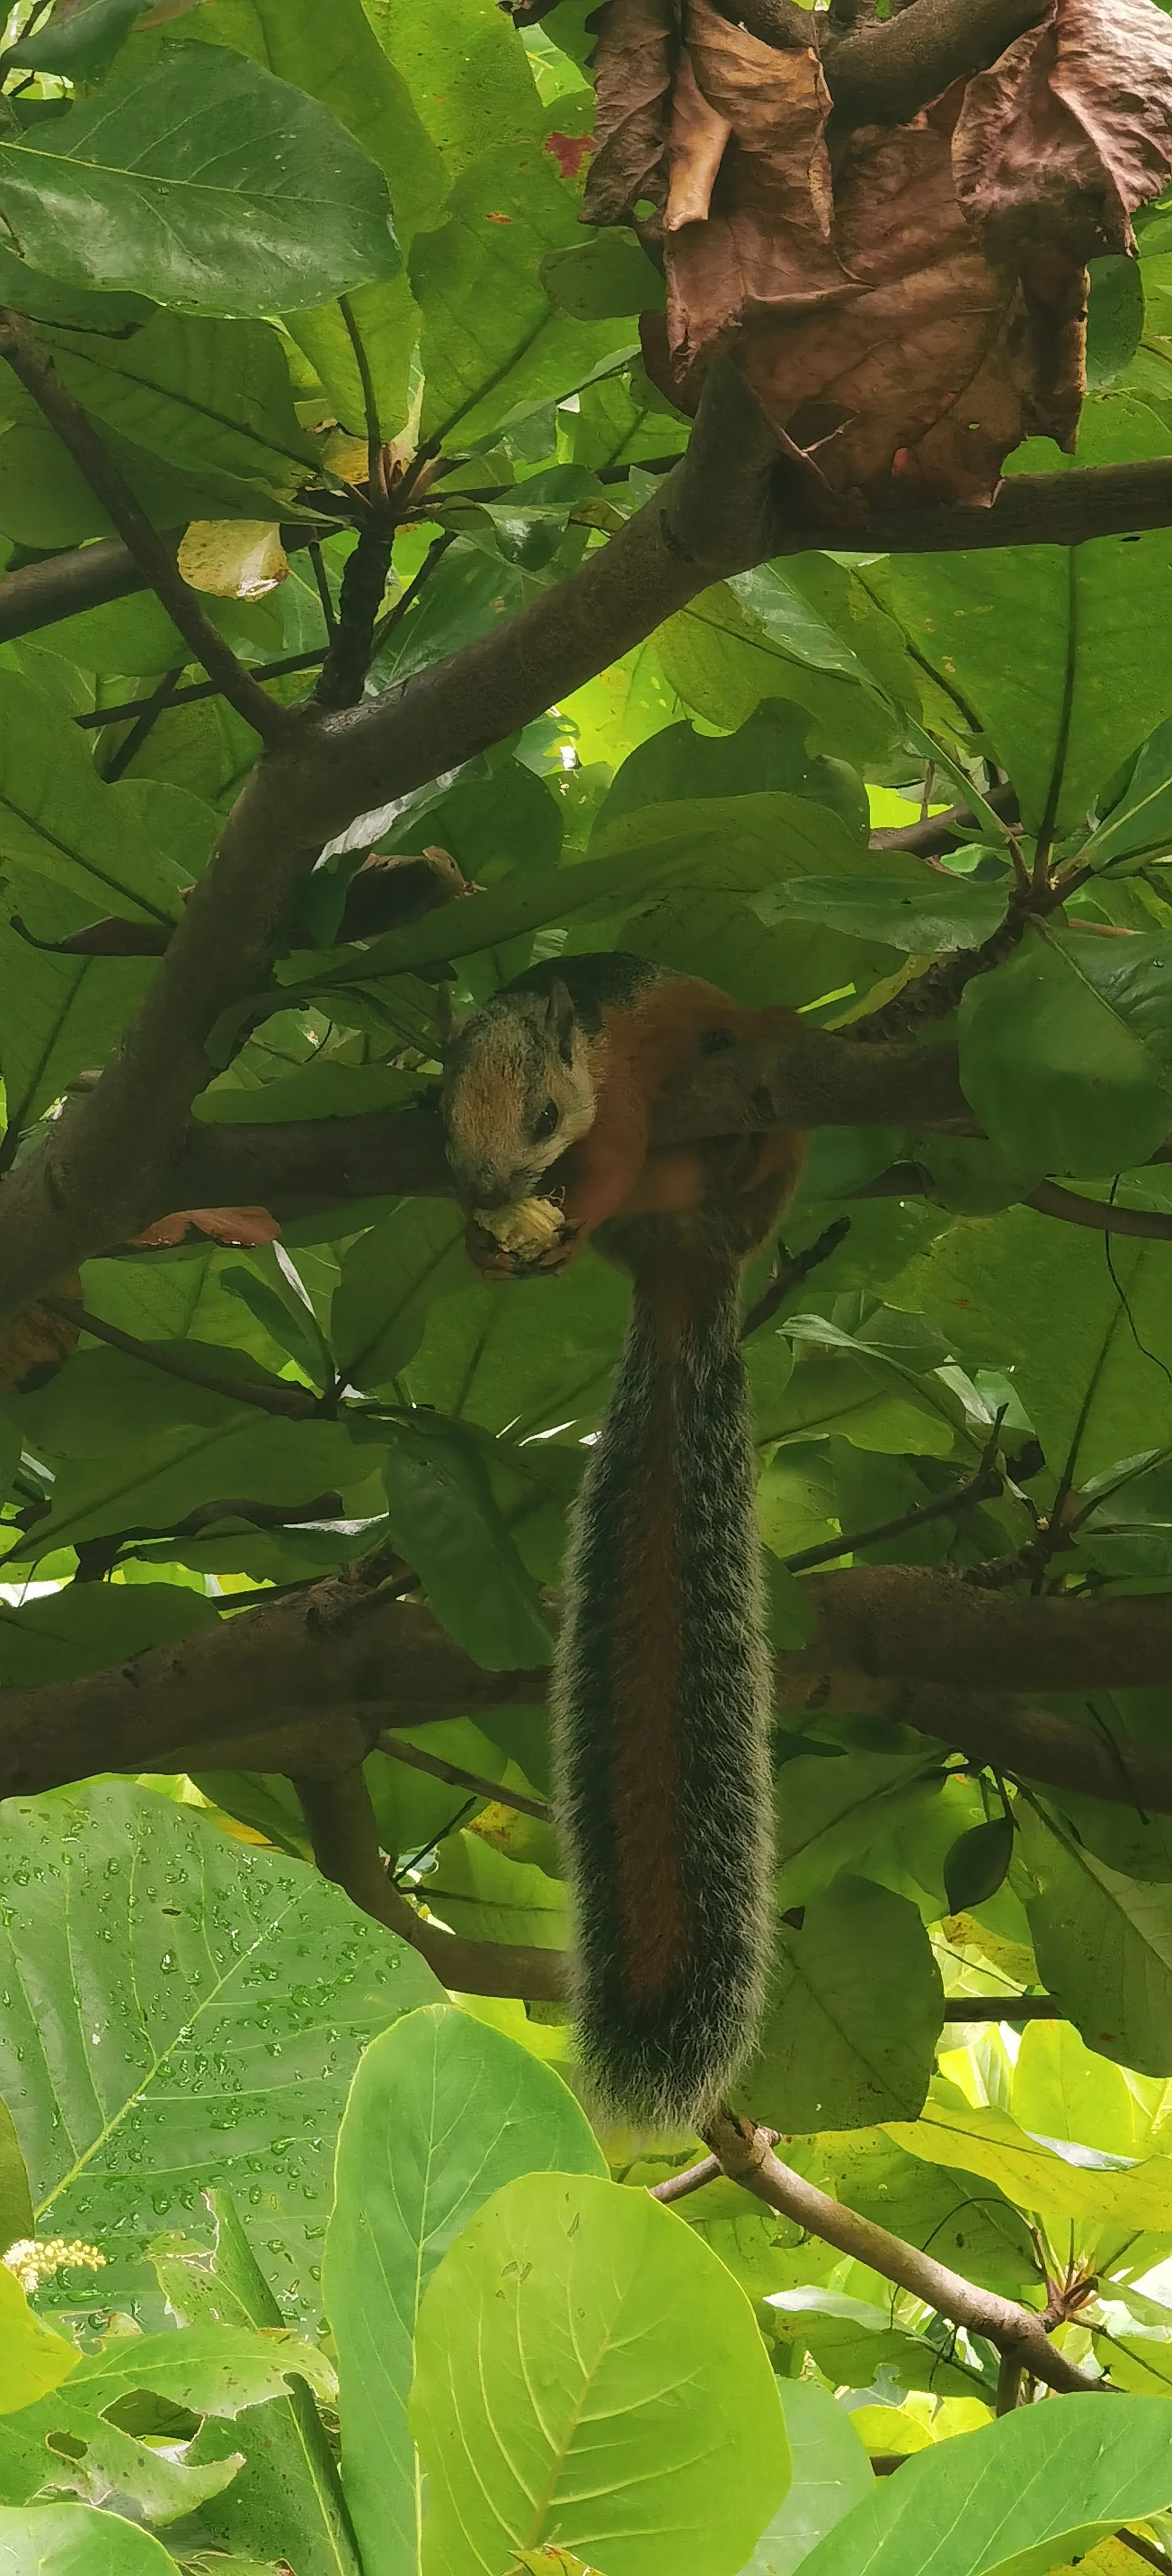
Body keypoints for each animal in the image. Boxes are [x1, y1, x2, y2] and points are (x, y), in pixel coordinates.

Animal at [442, 952, 806, 2130]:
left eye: (544, 1116)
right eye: (441, 1128)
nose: (487, 1191)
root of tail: (687, 1264)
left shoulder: (627, 1098)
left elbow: (608, 1160)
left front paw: (553, 1214)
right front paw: (486, 1243)